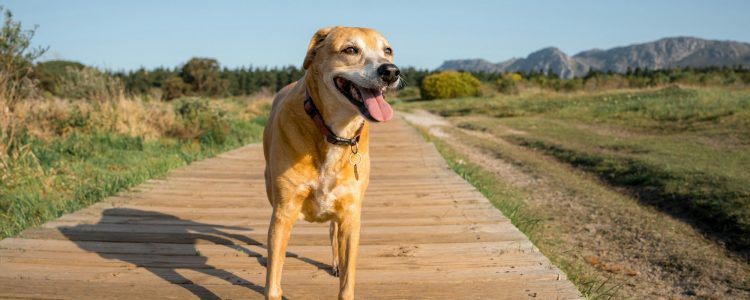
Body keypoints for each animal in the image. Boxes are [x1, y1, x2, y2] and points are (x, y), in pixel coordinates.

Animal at [264, 26, 402, 300]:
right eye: (350, 49)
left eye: (387, 50)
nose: (391, 71)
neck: (334, 133)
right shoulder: (284, 211)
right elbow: (274, 275)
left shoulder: (350, 214)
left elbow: (348, 282)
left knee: (332, 231)